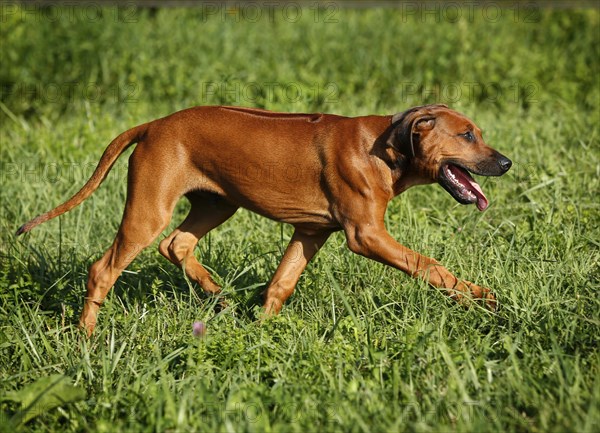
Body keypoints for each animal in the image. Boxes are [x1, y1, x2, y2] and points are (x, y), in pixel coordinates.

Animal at [15, 104, 510, 334]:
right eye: (467, 135)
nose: (505, 163)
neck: (386, 148)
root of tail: (153, 125)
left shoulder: (312, 230)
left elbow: (280, 284)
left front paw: (263, 331)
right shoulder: (365, 235)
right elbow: (431, 266)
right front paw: (483, 297)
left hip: (218, 202)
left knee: (176, 244)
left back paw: (218, 294)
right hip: (149, 208)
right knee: (104, 268)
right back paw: (87, 337)